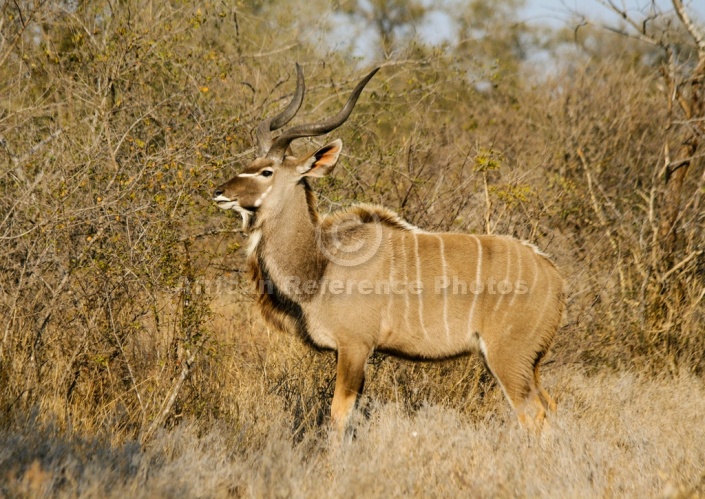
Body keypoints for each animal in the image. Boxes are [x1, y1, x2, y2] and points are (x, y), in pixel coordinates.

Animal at [212, 65, 564, 434]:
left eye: (266, 171)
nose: (219, 192)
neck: (322, 263)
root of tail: (554, 275)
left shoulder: (354, 346)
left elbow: (339, 414)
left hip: (508, 357)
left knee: (533, 415)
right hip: (529, 363)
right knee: (551, 406)